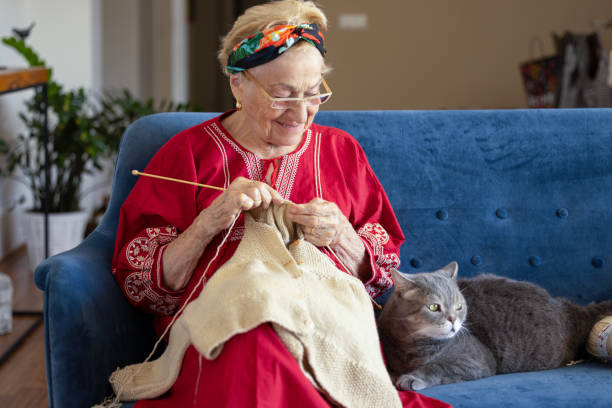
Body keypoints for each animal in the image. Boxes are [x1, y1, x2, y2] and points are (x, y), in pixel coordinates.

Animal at [378, 262, 612, 390]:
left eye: (459, 306)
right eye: (434, 307)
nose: (453, 320)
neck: (411, 345)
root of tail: (568, 308)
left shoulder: (475, 360)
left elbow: (438, 366)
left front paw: (412, 378)